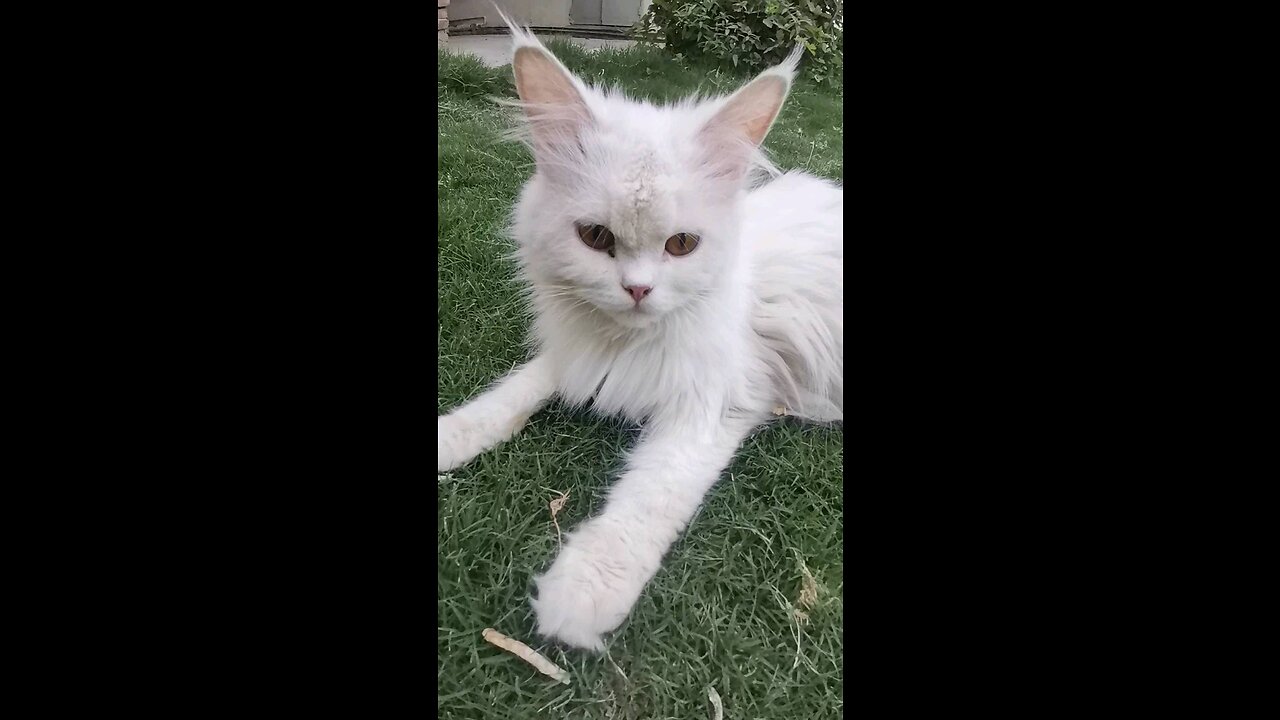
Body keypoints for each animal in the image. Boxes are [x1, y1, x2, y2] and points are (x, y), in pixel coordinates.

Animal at [435, 26, 844, 650]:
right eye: (595, 237)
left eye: (682, 245)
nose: (637, 290)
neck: (620, 343)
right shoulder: (572, 354)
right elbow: (504, 400)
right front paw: (448, 437)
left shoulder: (711, 408)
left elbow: (646, 498)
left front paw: (582, 591)